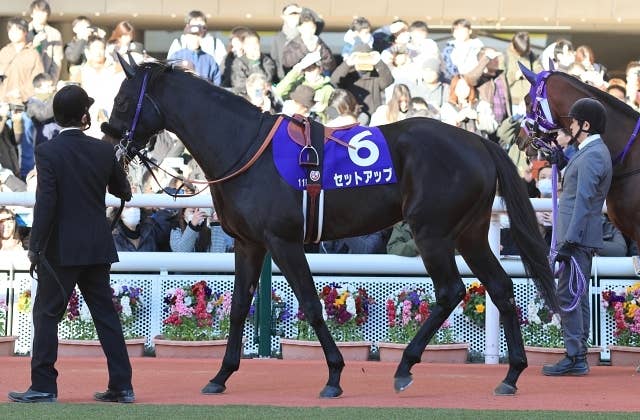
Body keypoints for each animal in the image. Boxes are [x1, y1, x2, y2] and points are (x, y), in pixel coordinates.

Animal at [103, 56, 557, 398]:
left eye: (124, 101)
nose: (111, 141)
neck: (244, 148)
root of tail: (478, 142)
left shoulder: (282, 241)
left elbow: (310, 302)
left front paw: (335, 375)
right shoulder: (249, 244)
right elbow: (238, 308)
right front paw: (220, 375)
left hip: (433, 233)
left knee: (450, 291)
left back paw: (405, 366)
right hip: (470, 233)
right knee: (500, 287)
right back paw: (512, 374)